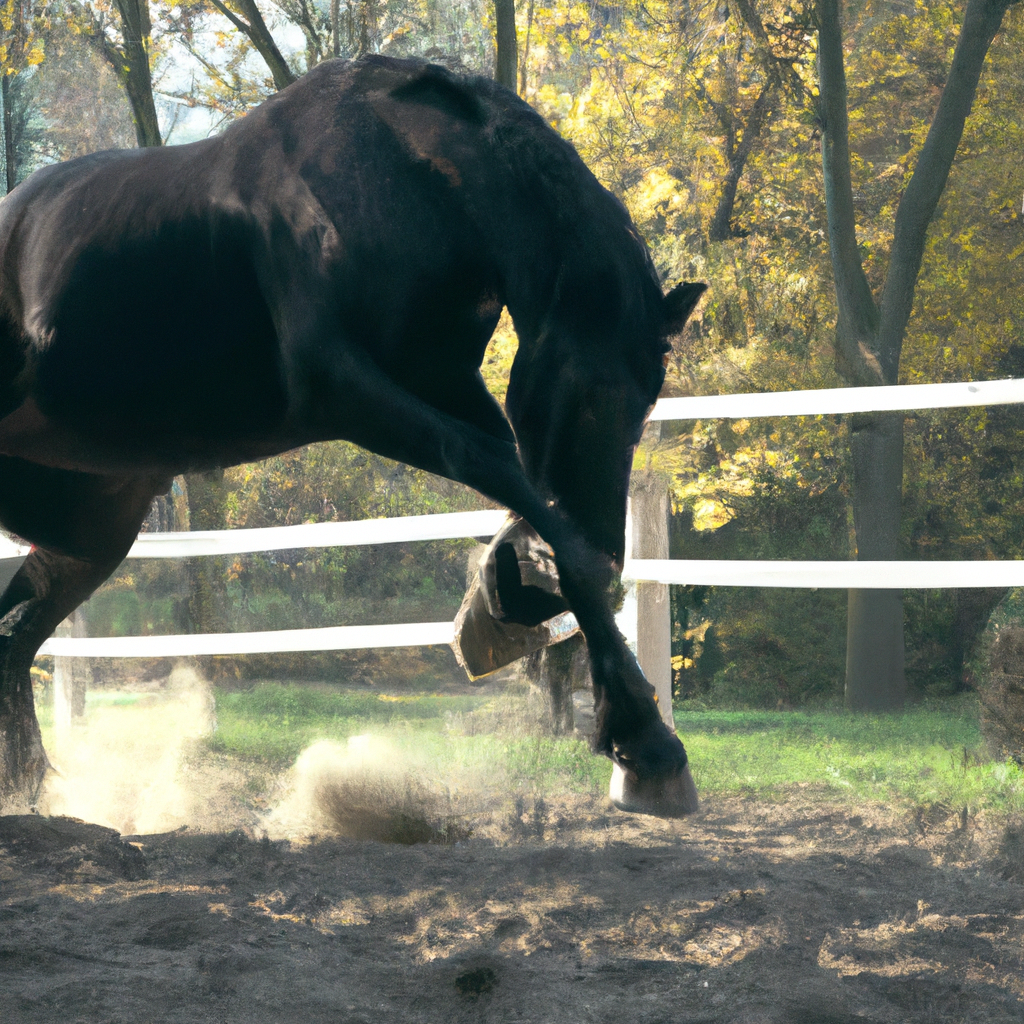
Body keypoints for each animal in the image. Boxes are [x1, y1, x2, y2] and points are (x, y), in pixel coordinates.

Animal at [0, 54, 704, 815]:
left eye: (651, 395)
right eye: (590, 393)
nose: (607, 534)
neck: (412, 177)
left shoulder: (445, 381)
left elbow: (518, 486)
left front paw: (509, 593)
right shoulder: (343, 387)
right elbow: (506, 477)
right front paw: (643, 741)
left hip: (94, 529)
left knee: (13, 639)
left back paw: (29, 788)